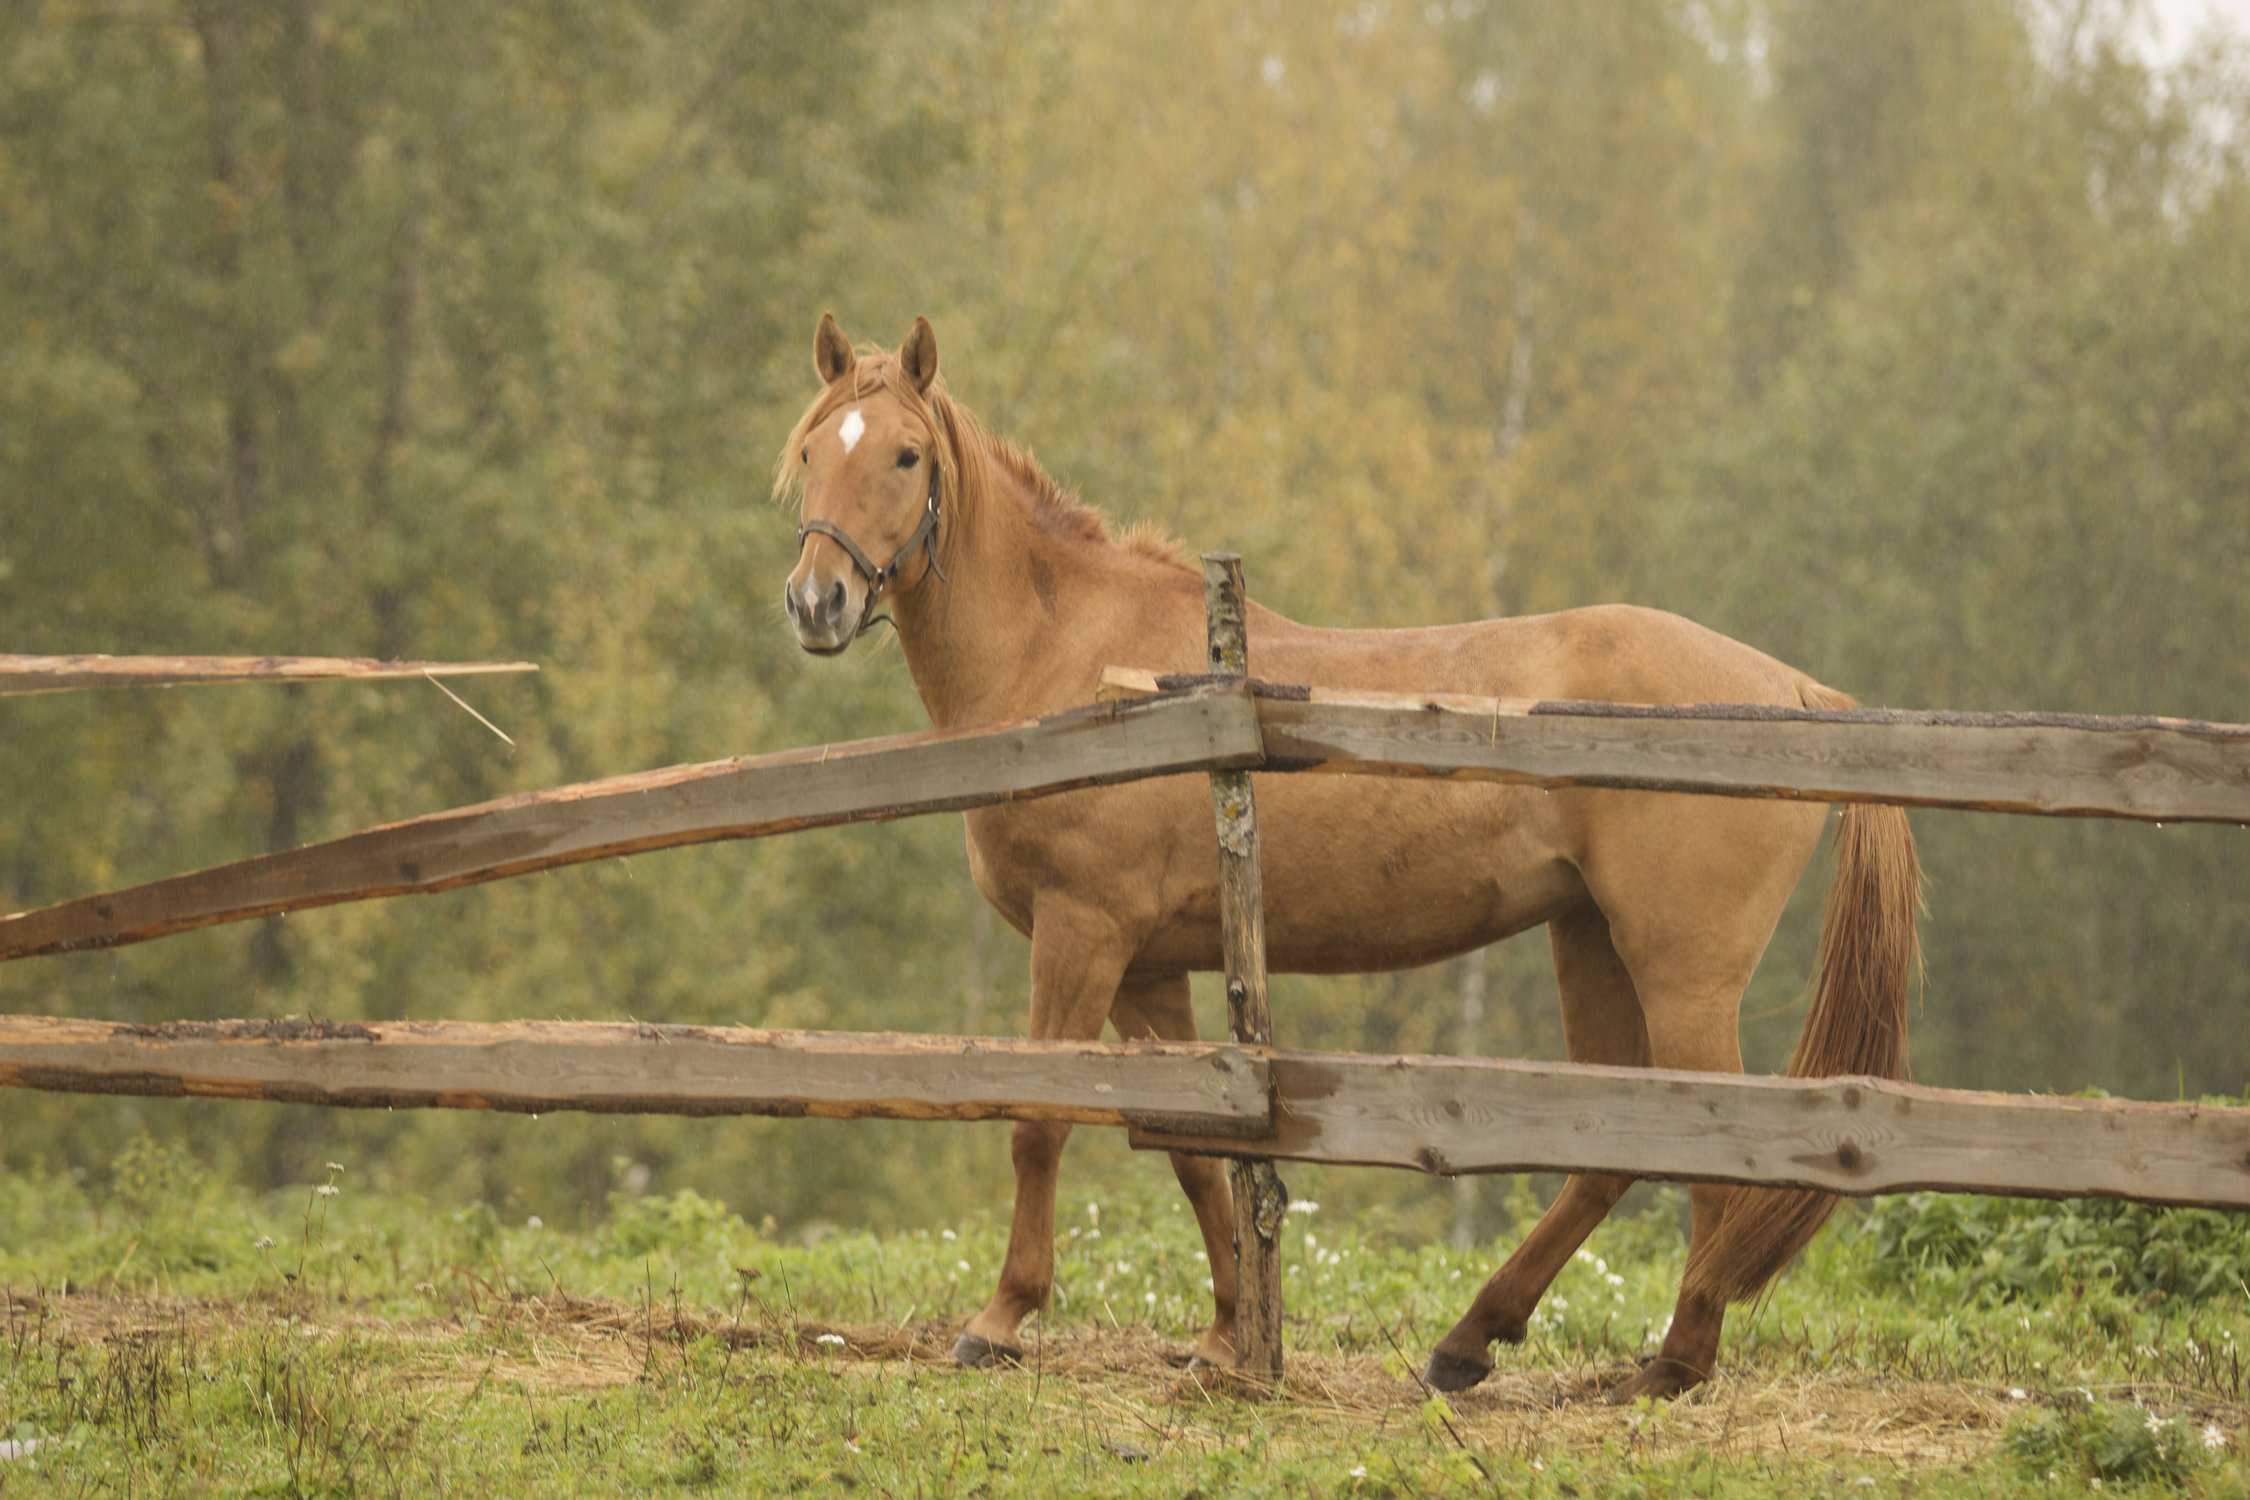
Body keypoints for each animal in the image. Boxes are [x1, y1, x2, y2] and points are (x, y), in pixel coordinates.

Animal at [774, 310, 1917, 1403]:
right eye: (813, 450)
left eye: (907, 455)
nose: (816, 602)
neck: (1078, 661)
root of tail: (1796, 691)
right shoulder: (1145, 968)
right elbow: (1193, 1151)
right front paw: (1225, 1337)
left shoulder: (1081, 938)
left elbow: (1039, 1124)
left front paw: (1002, 1320)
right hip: (1589, 938)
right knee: (1609, 1148)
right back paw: (1471, 1341)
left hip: (1682, 974)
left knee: (1719, 1149)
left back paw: (1674, 1364)